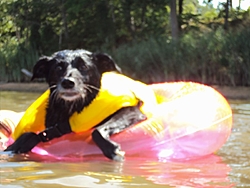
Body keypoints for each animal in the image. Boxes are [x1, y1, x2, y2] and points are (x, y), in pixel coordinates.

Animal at [5, 49, 146, 161]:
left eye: (84, 67)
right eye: (58, 68)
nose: (68, 82)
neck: (71, 109)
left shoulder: (132, 111)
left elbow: (97, 131)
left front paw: (113, 150)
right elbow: (29, 136)